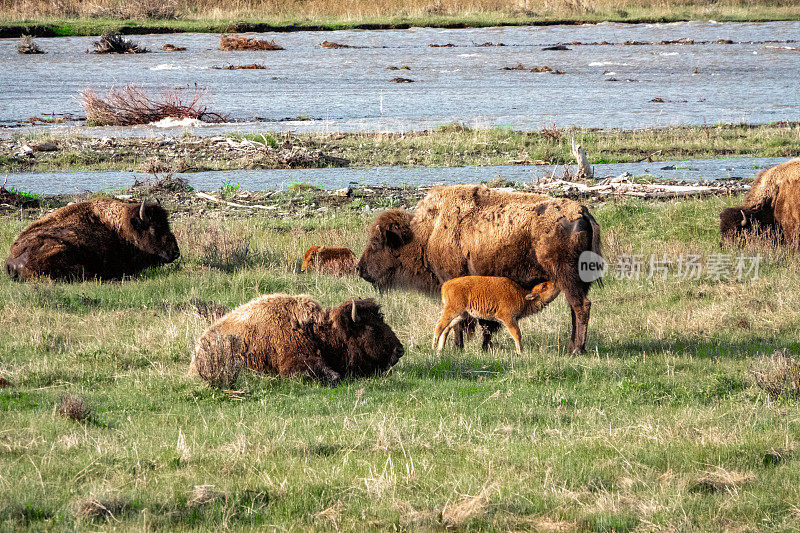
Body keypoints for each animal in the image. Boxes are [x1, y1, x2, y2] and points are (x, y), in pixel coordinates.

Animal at [354, 183, 600, 354]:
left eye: (376, 242)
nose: (360, 268)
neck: (427, 233)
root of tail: (582, 212)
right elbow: (483, 322)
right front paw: (483, 347)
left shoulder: (453, 280)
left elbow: (461, 322)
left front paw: (459, 347)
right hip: (577, 281)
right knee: (576, 308)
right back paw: (573, 346)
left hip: (567, 277)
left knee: (580, 307)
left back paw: (576, 349)